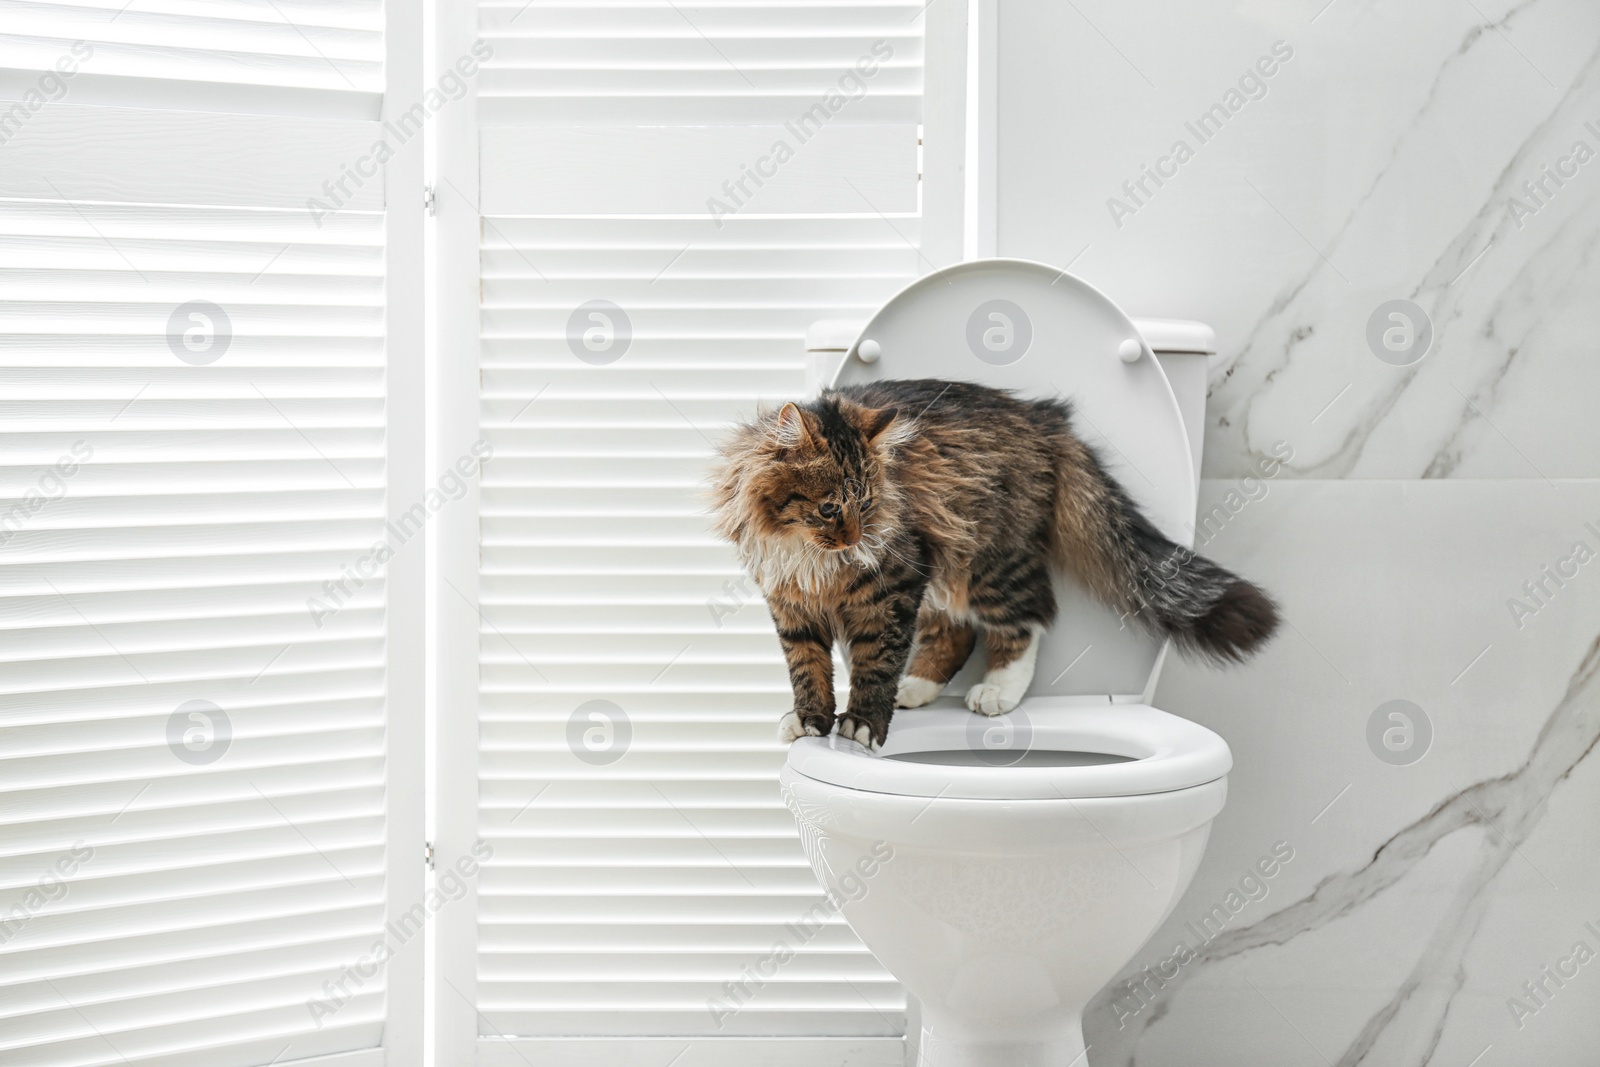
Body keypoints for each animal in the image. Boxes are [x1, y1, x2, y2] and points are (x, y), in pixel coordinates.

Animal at [707, 379, 1280, 748]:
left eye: (866, 505)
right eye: (830, 508)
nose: (856, 538)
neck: (806, 552)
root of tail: (1043, 418)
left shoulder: (893, 586)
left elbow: (875, 662)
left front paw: (864, 724)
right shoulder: (790, 602)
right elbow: (807, 668)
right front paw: (809, 722)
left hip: (987, 560)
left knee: (1028, 618)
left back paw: (997, 691)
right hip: (948, 568)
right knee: (956, 632)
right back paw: (916, 688)